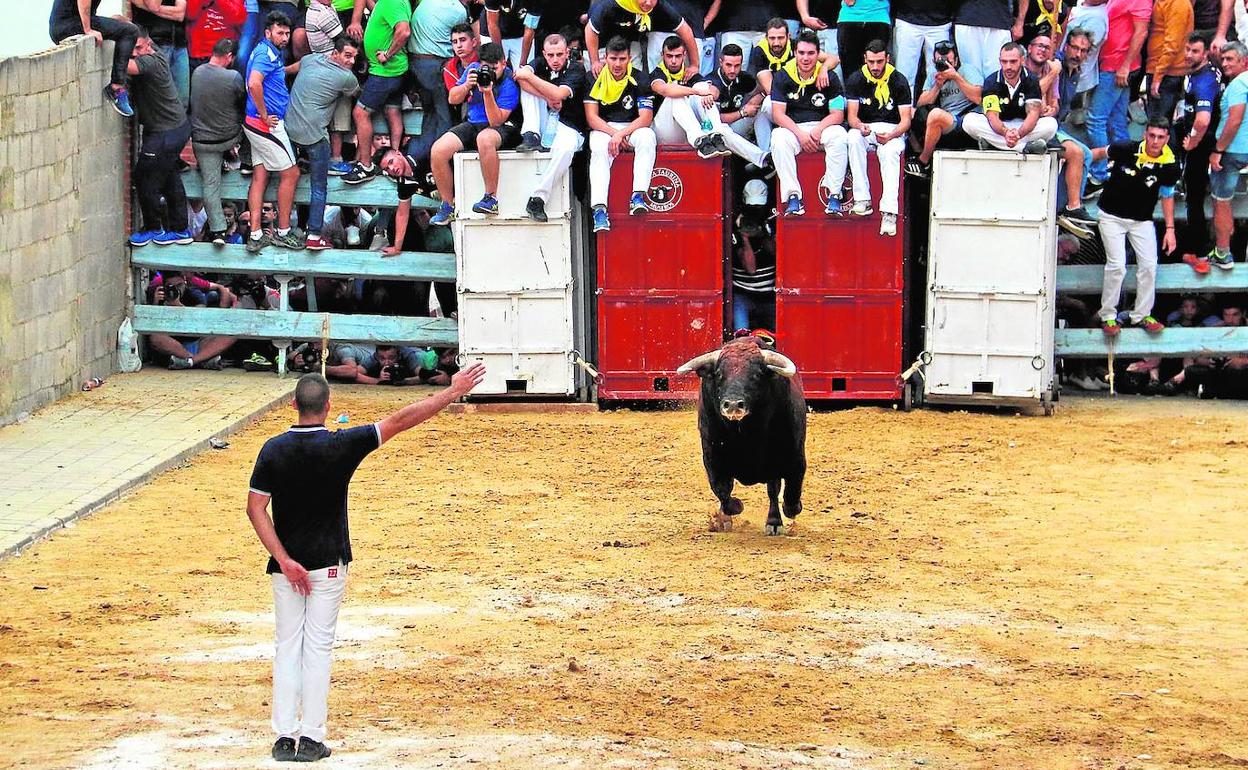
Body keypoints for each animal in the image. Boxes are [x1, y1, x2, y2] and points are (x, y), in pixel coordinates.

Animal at [678, 336, 803, 534]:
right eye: (719, 374)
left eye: (757, 375)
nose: (733, 405)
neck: (746, 434)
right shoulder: (712, 458)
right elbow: (722, 491)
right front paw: (731, 511)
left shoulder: (795, 457)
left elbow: (791, 492)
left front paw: (789, 511)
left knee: (773, 491)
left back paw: (774, 522)